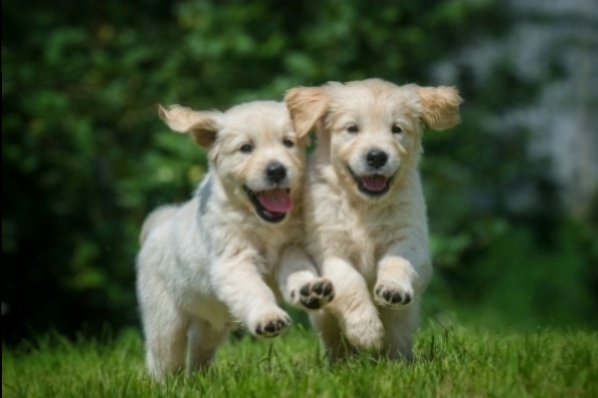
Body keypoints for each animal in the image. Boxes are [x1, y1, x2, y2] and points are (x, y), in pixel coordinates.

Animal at [137, 100, 338, 380]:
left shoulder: (291, 247)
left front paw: (309, 289)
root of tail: (159, 223)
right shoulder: (233, 262)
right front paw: (268, 317)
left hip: (211, 322)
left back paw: (201, 378)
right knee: (163, 357)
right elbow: (255, 289)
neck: (261, 222)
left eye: (288, 142)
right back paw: (166, 383)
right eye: (246, 148)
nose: (276, 170)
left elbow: (299, 269)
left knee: (200, 349)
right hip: (164, 317)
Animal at [286, 78, 464, 360]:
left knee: (398, 340)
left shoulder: (411, 238)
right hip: (324, 321)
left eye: (397, 129)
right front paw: (366, 330)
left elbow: (397, 260)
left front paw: (393, 289)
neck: (364, 205)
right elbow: (350, 283)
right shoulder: (329, 251)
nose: (377, 156)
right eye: (352, 128)